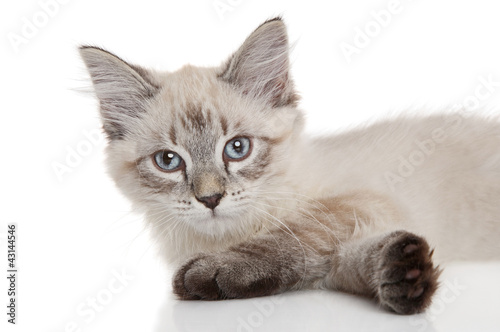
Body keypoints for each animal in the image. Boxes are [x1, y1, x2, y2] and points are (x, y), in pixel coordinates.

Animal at [79, 17, 500, 314]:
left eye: (237, 149)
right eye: (168, 161)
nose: (210, 199)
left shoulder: (361, 204)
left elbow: (291, 235)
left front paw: (213, 273)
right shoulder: (337, 261)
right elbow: (350, 260)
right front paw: (406, 275)